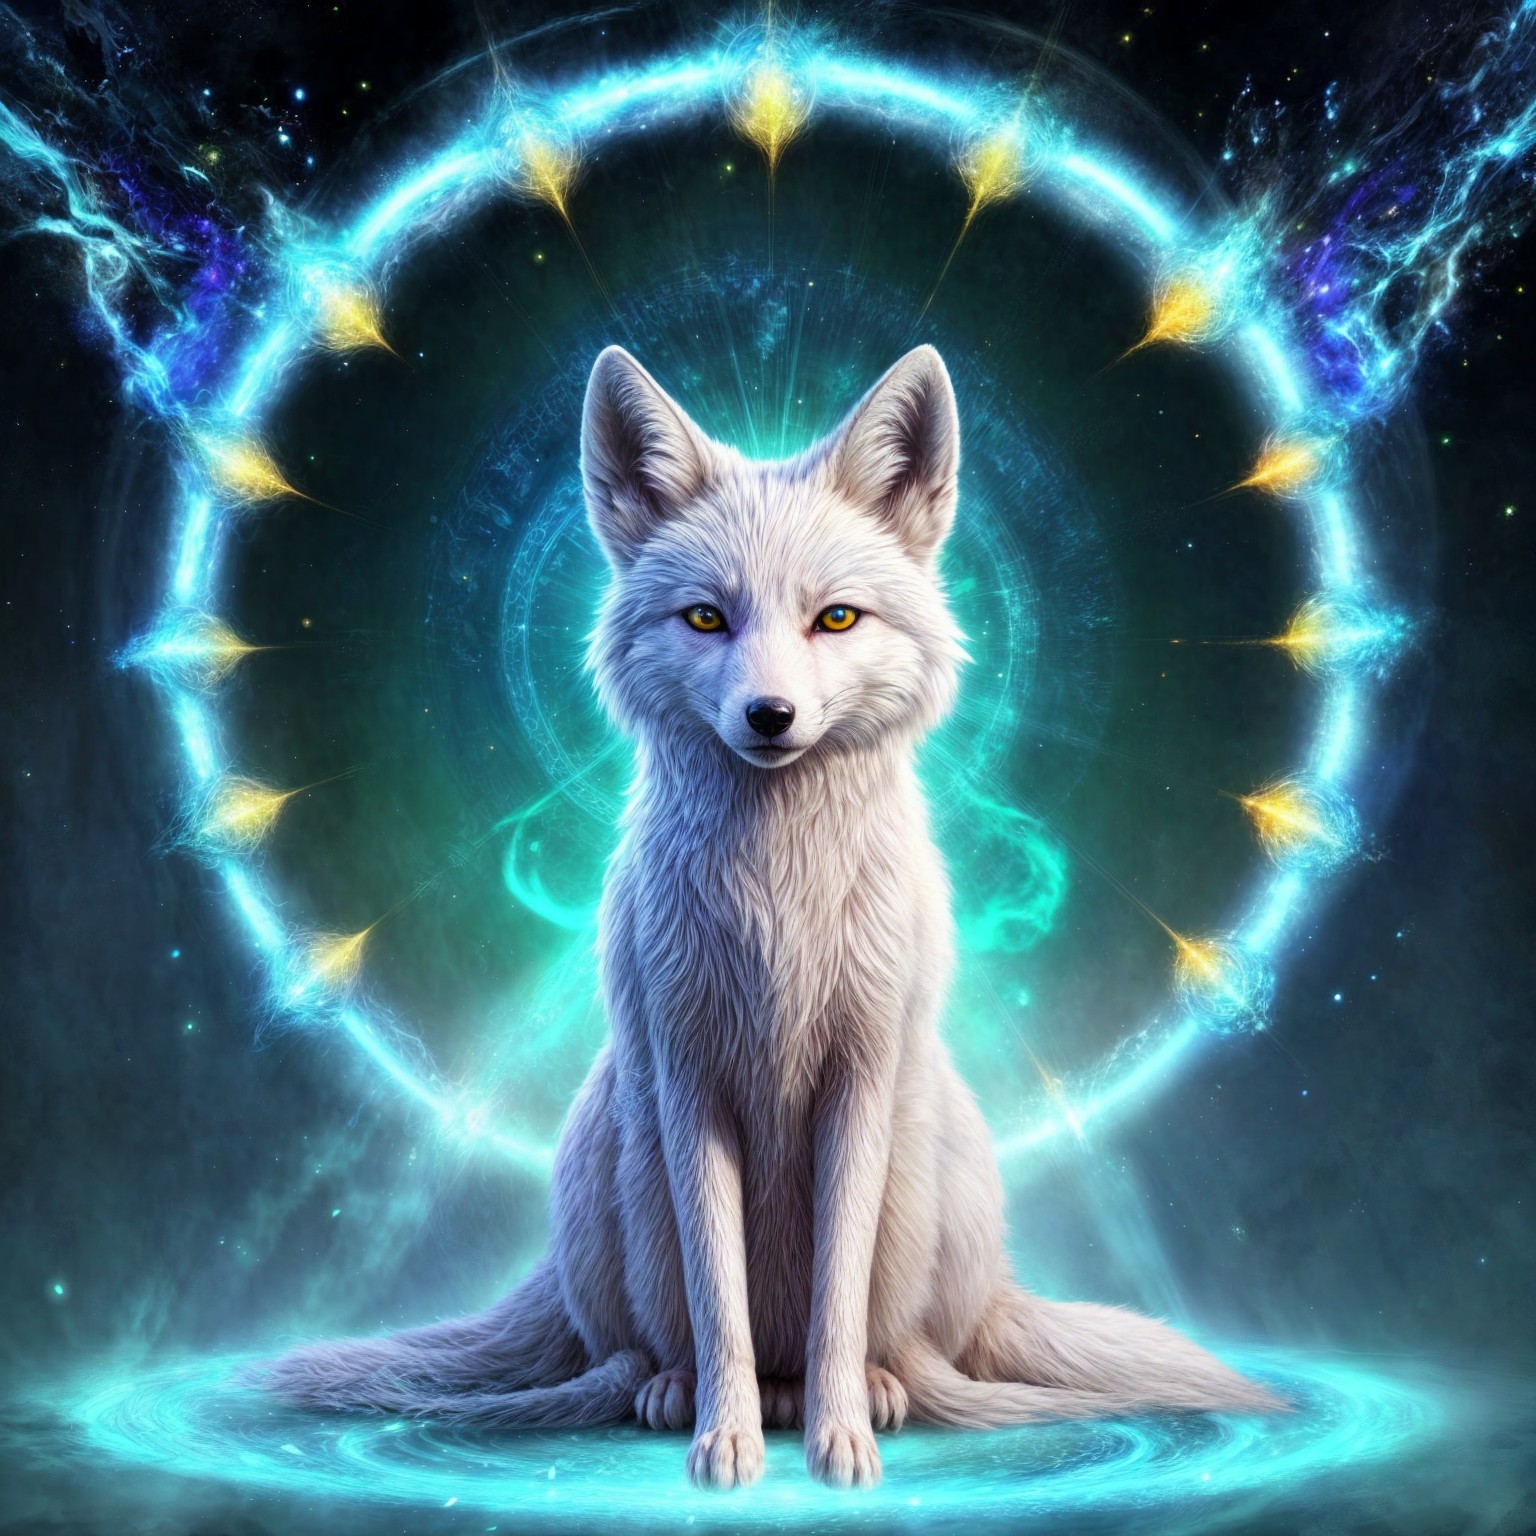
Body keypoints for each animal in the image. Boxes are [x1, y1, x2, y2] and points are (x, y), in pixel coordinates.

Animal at [259, 343, 1282, 1489]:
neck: (778, 905)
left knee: (906, 1350)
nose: (770, 716)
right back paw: (681, 1393)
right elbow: (723, 1307)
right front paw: (729, 1440)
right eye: (707, 617)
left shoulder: (858, 1085)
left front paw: (838, 1443)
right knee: (642, 1349)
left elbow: (838, 1295)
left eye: (835, 617)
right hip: (616, 1157)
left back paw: (868, 1393)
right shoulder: (691, 1087)